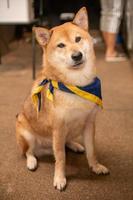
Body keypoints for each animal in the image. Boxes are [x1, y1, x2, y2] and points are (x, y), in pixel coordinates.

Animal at [15, 6, 109, 191]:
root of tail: (44, 148)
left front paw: (95, 166)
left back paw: (75, 145)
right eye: (61, 45)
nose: (77, 55)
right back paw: (31, 161)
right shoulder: (58, 129)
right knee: (29, 151)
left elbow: (92, 150)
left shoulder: (89, 123)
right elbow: (60, 157)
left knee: (67, 143)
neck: (77, 86)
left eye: (78, 39)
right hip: (26, 132)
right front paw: (60, 178)